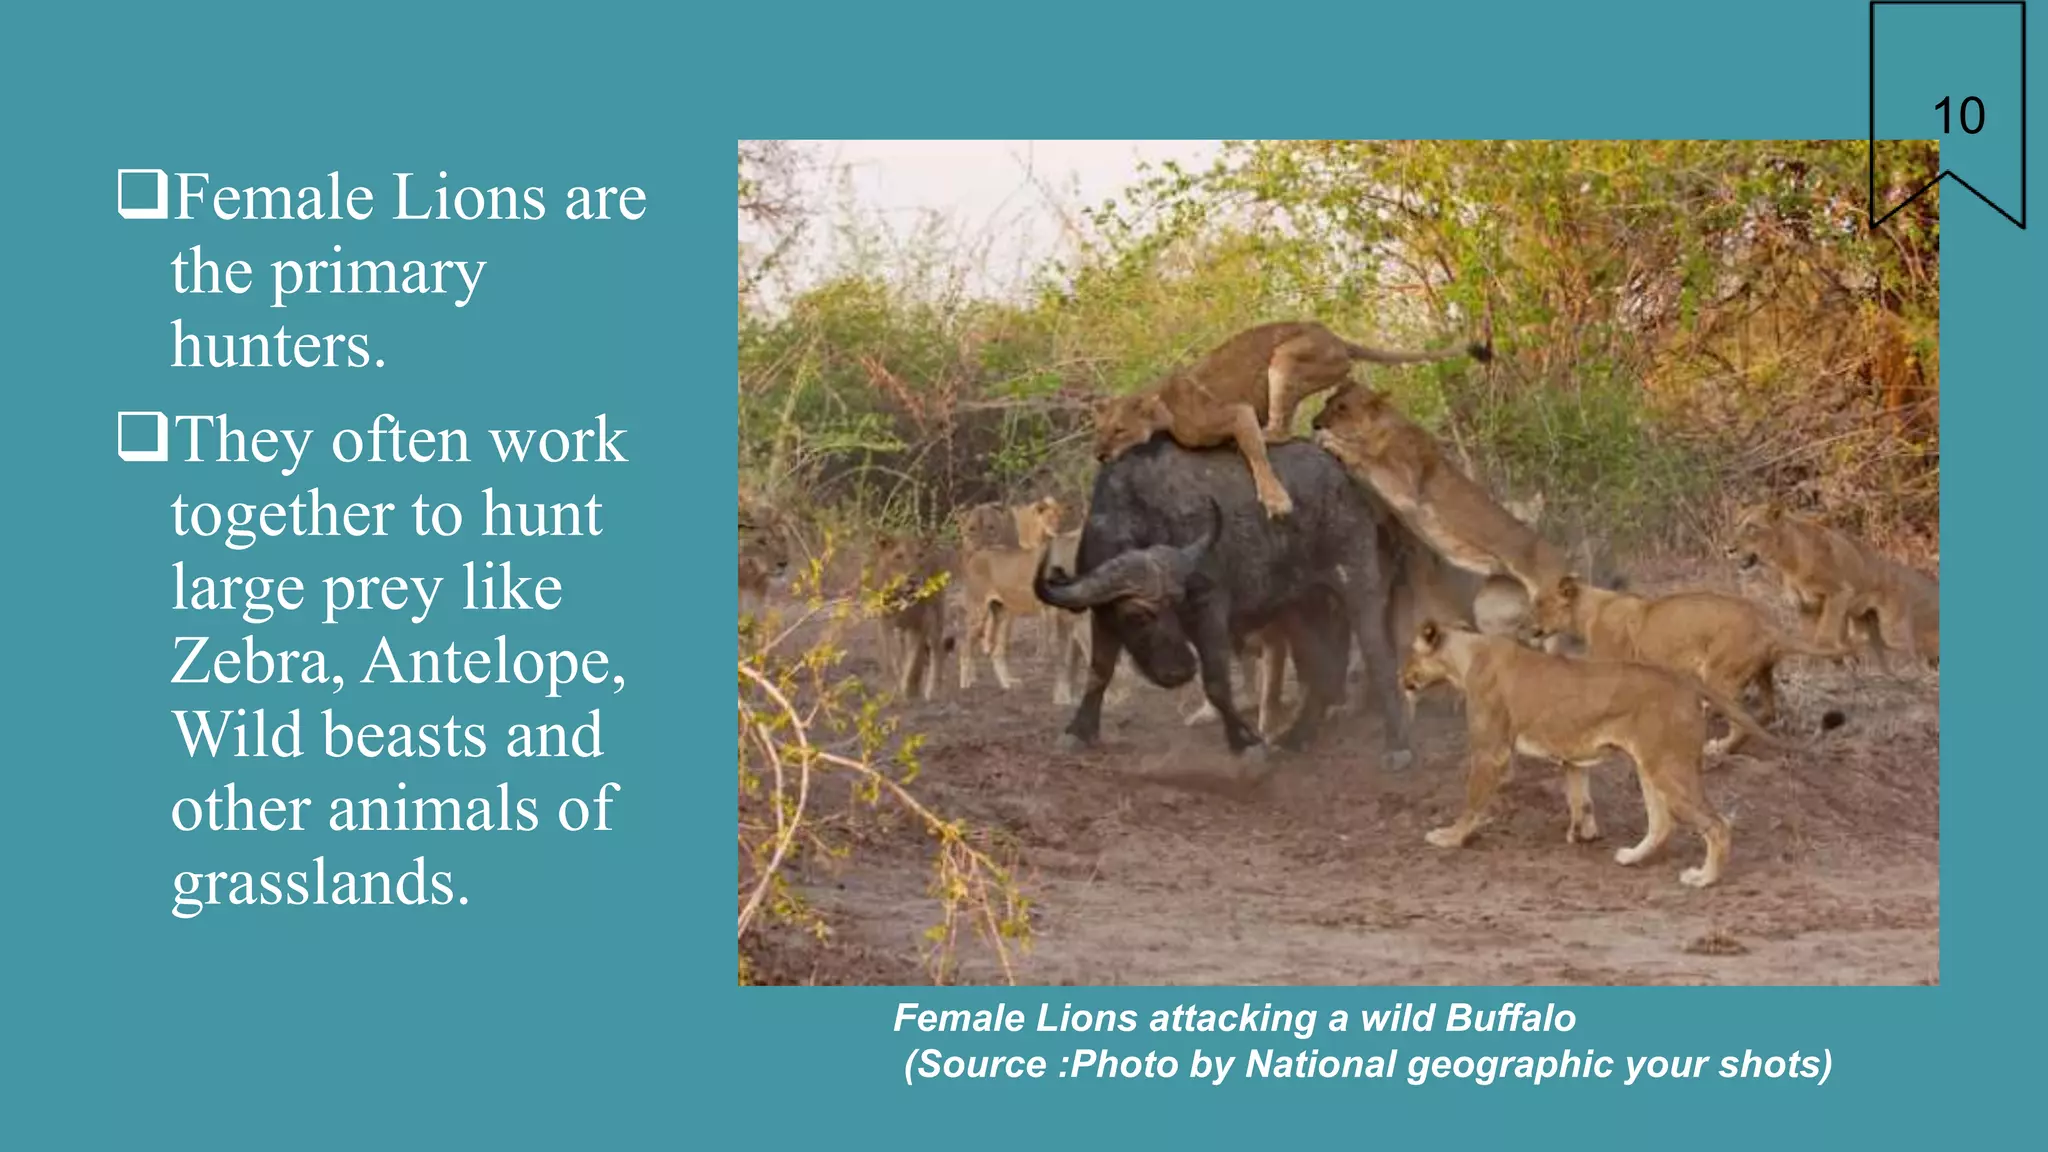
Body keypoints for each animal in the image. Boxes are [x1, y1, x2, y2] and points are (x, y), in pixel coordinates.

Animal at [1092, 321, 1490, 519]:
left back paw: (1265, 436)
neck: (1164, 411)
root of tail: (1338, 338)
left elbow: (1256, 455)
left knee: (1280, 432)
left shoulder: (1237, 411)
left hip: (1286, 358)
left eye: (1119, 430)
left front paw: (1276, 500)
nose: (1099, 455)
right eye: (1100, 431)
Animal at [1399, 620, 1773, 889]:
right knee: (1662, 823)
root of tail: (1684, 680)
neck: (1466, 656)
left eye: (1409, 656)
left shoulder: (1491, 753)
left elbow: (1471, 804)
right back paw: (1631, 857)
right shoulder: (1572, 760)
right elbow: (1580, 798)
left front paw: (1448, 837)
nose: (1400, 678)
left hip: (1670, 768)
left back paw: (1703, 878)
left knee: (1717, 825)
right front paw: (1584, 834)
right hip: (1651, 767)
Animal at [1531, 575, 1849, 756]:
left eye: (1542, 605)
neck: (1589, 610)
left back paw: (1718, 749)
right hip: (1761, 672)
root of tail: (1768, 623)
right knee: (1766, 712)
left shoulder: (1610, 663)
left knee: (1741, 723)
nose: (1531, 628)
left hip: (1720, 676)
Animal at [1726, 507, 1939, 672]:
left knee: (1910, 651)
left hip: (1892, 627)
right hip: (1859, 619)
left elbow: (1825, 632)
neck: (1787, 563)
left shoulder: (1840, 593)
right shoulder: (1804, 604)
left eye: (1752, 527)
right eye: (1736, 525)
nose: (1728, 549)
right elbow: (1810, 637)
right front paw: (1813, 664)